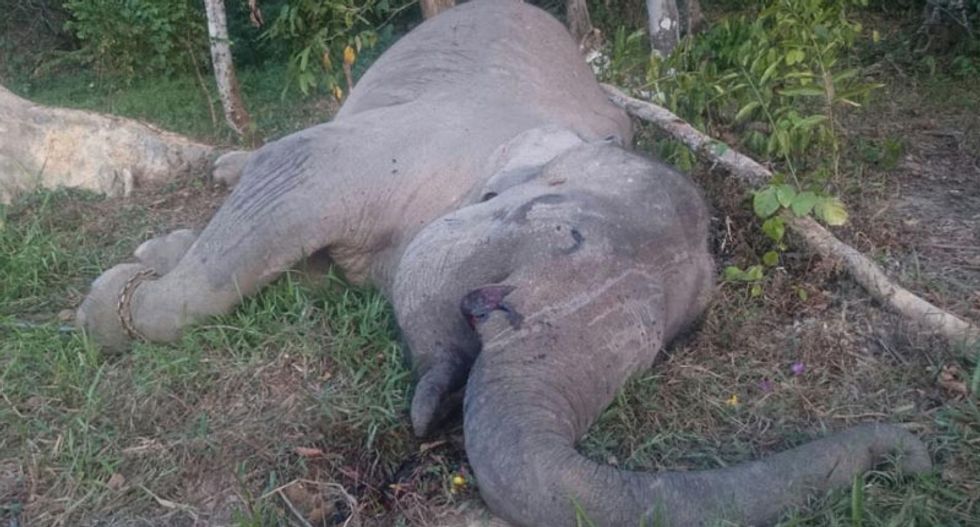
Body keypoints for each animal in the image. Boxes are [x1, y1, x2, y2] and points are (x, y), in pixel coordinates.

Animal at [77, 1, 931, 525]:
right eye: (567, 236)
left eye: (655, 352)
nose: (916, 454)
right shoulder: (404, 148)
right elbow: (296, 173)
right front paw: (113, 300)